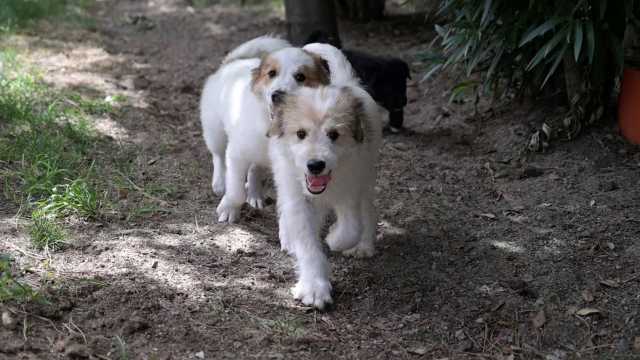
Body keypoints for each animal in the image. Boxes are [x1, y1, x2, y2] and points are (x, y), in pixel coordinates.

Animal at [200, 36, 330, 222]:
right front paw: (229, 208)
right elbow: (236, 190)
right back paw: (219, 182)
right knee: (217, 155)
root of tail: (232, 62)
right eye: (271, 74)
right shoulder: (236, 154)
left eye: (301, 77)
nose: (277, 95)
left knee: (255, 168)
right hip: (215, 130)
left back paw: (254, 194)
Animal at [266, 82, 382, 310]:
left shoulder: (350, 190)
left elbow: (351, 229)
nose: (315, 165)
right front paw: (314, 287)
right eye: (301, 133)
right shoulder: (298, 199)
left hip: (365, 179)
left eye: (334, 134)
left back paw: (364, 246)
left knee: (367, 212)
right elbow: (307, 242)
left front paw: (334, 239)